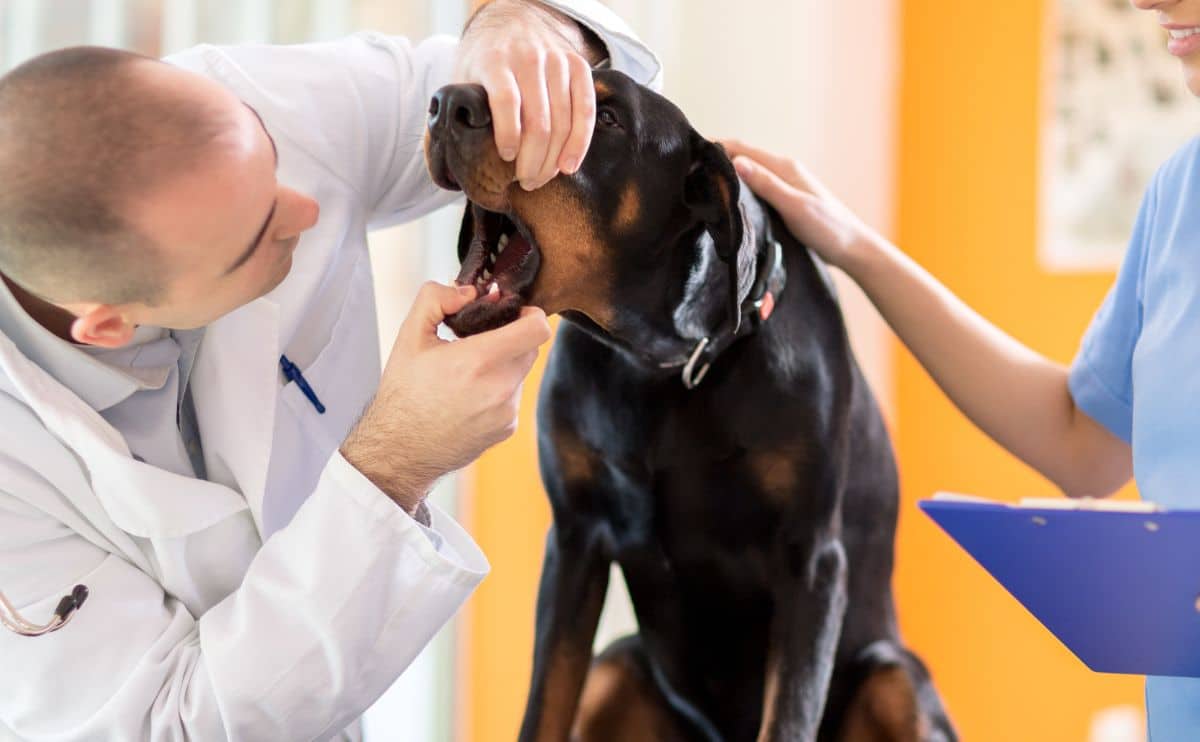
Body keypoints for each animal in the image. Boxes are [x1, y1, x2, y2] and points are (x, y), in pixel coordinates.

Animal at [424, 70, 955, 739]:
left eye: (608, 119)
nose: (447, 103)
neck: (664, 363)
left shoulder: (810, 559)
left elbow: (789, 716)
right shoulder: (575, 537)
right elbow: (545, 705)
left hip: (895, 677)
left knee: (891, 679)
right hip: (616, 669)